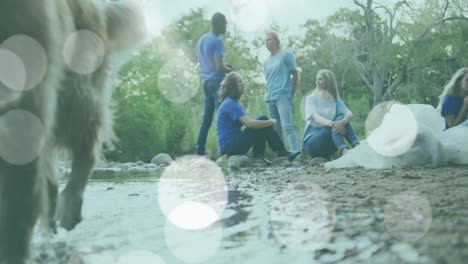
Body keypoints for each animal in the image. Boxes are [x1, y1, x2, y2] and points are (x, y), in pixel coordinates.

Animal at [0, 1, 146, 262]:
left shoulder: (24, 112)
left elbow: (15, 215)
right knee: (50, 185)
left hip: (74, 96)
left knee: (86, 149)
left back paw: (69, 207)